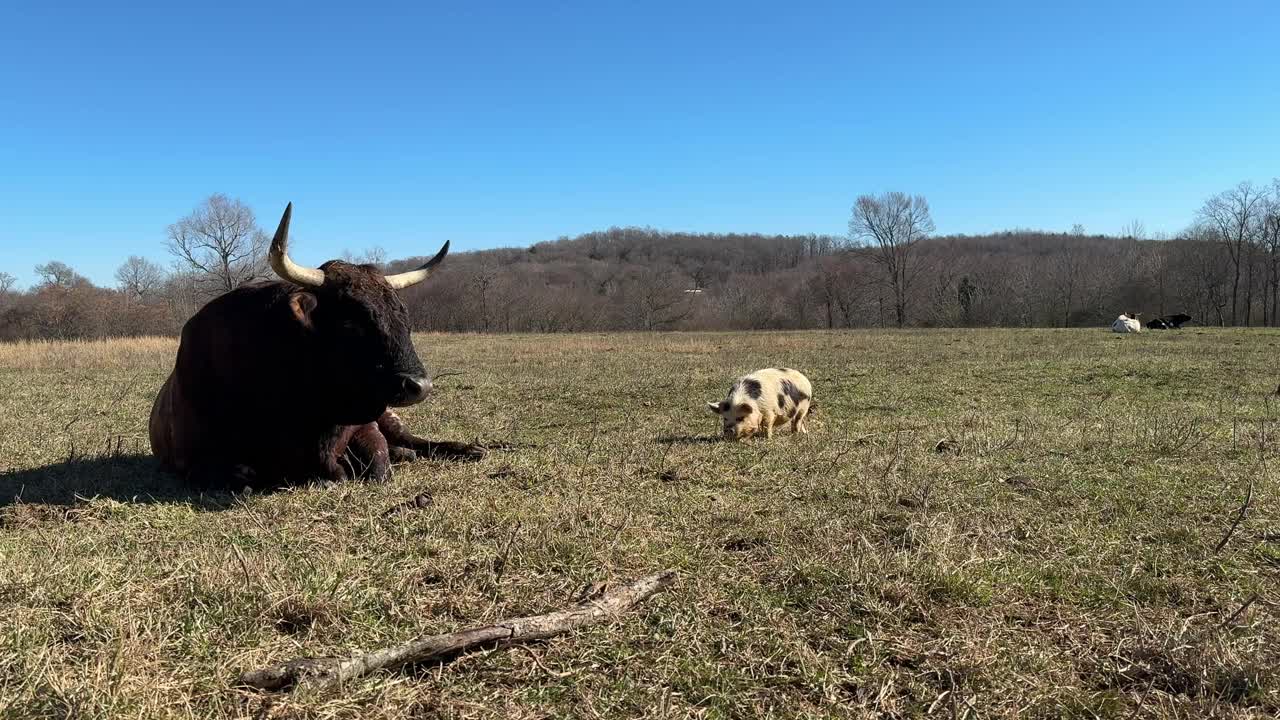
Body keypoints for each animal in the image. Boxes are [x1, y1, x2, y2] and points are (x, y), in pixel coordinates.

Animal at [148, 204, 483, 489]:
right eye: (351, 323)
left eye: (404, 317)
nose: (418, 385)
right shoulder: (195, 460)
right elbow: (244, 476)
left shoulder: (365, 425)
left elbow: (379, 463)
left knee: (415, 441)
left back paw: (468, 449)